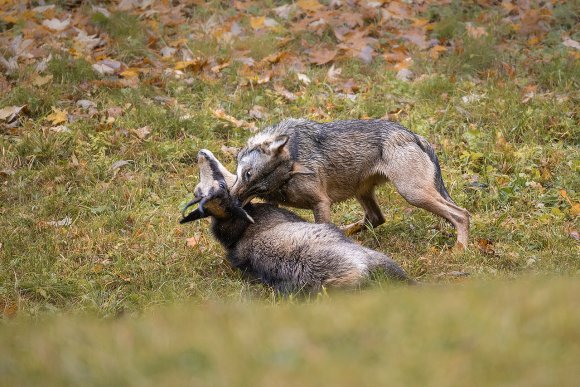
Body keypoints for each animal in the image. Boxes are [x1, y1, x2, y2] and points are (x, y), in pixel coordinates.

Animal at [231, 118, 472, 250]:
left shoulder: (321, 202)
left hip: (413, 194)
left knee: (462, 214)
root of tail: (415, 136)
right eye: (248, 175)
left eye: (258, 185)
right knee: (376, 218)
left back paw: (459, 249)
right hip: (363, 193)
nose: (233, 203)